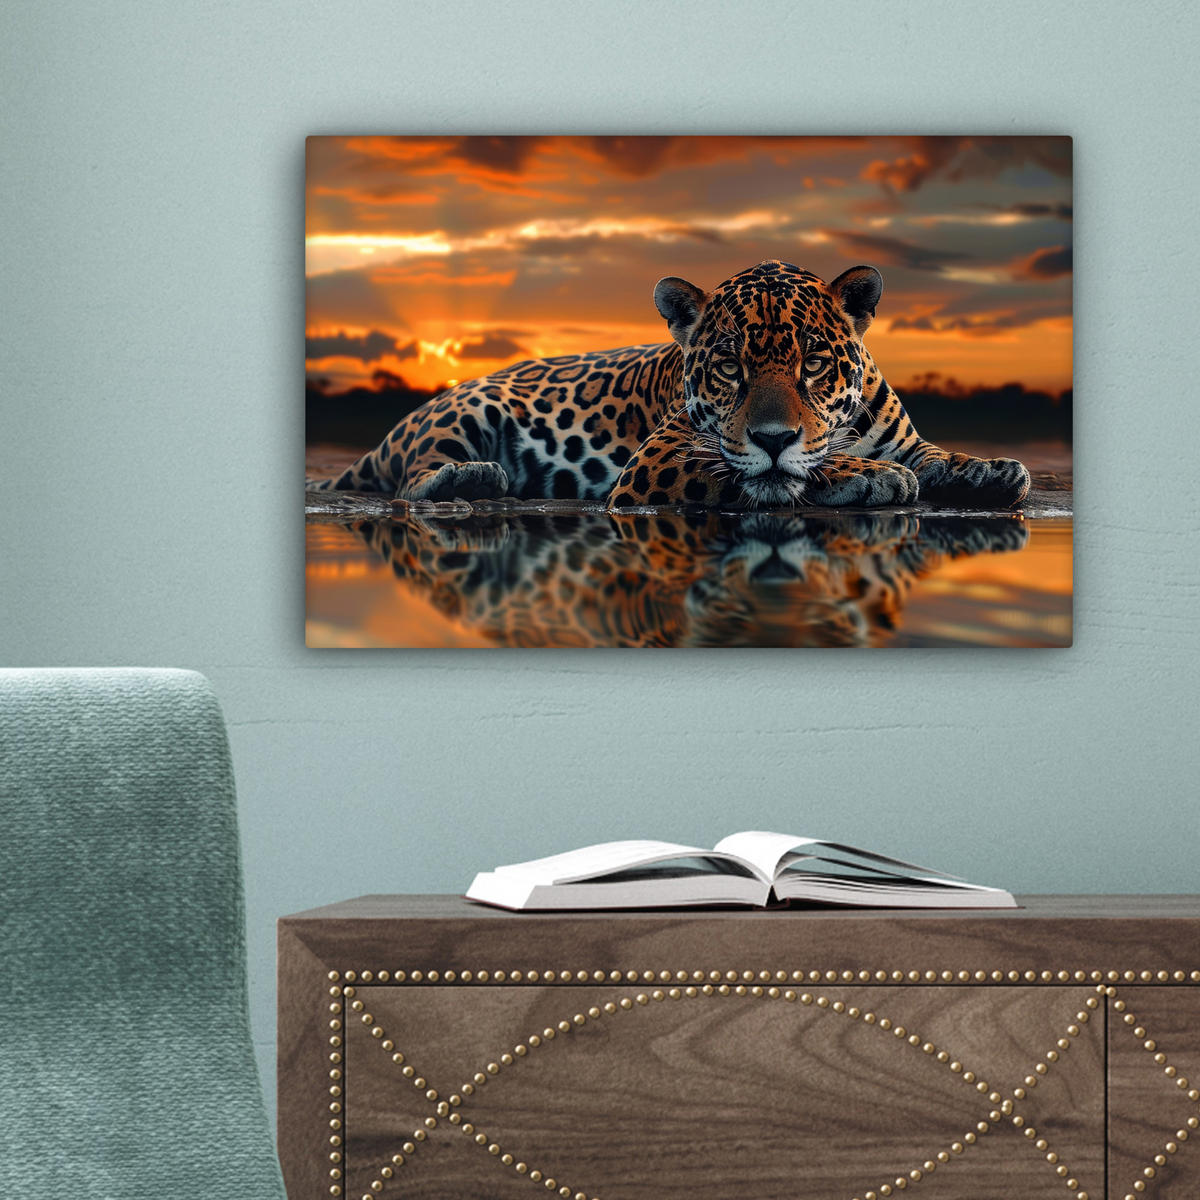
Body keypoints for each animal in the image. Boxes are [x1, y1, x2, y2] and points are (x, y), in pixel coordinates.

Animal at [308, 258, 1030, 511]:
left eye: (814, 364)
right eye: (731, 368)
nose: (773, 436)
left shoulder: (906, 440)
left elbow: (938, 456)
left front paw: (994, 470)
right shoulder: (662, 459)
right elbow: (776, 471)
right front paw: (868, 476)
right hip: (465, 411)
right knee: (410, 479)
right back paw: (474, 478)